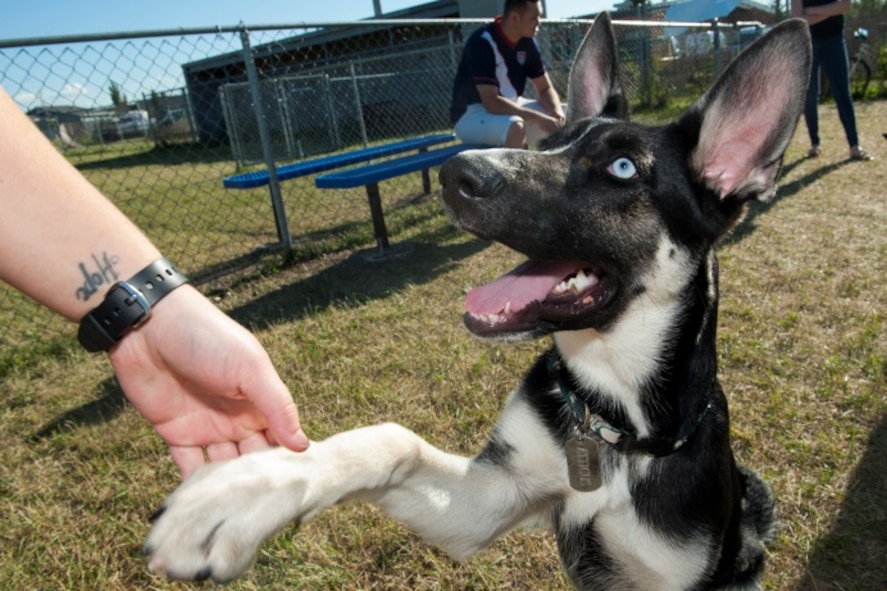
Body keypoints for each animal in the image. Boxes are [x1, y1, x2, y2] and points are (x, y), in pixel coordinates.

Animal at [144, 15, 812, 591]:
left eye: (623, 167)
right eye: (552, 140)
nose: (454, 172)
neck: (611, 422)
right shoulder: (486, 499)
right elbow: (393, 442)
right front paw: (245, 492)